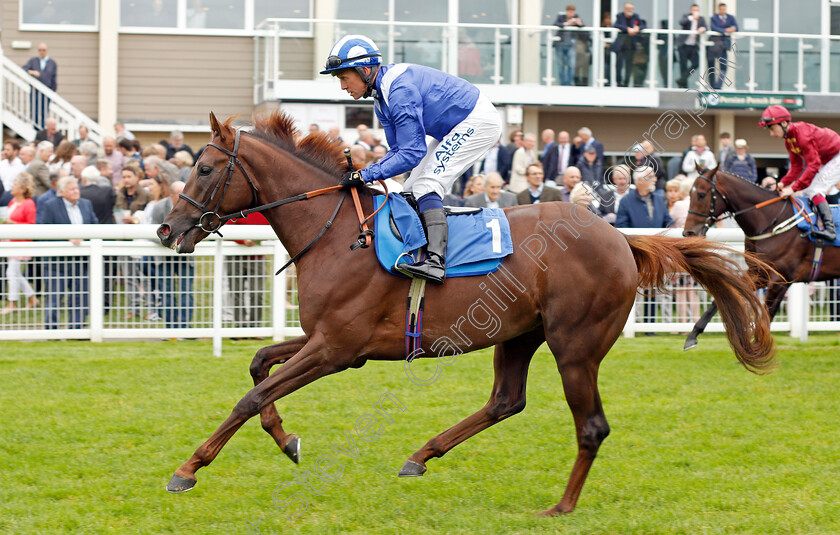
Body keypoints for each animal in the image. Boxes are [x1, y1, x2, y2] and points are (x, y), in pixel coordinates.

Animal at [158, 115, 776, 516]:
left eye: (206, 168)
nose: (167, 229)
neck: (337, 234)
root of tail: (622, 239)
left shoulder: (336, 349)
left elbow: (252, 395)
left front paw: (188, 468)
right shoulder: (329, 342)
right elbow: (259, 365)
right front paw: (287, 441)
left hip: (575, 345)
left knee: (591, 425)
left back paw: (561, 506)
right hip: (520, 334)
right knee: (506, 401)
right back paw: (420, 456)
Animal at [684, 170, 840, 350]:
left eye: (702, 195)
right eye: (689, 194)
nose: (688, 232)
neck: (773, 222)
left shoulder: (780, 280)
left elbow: (766, 316)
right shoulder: (760, 274)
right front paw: (692, 336)